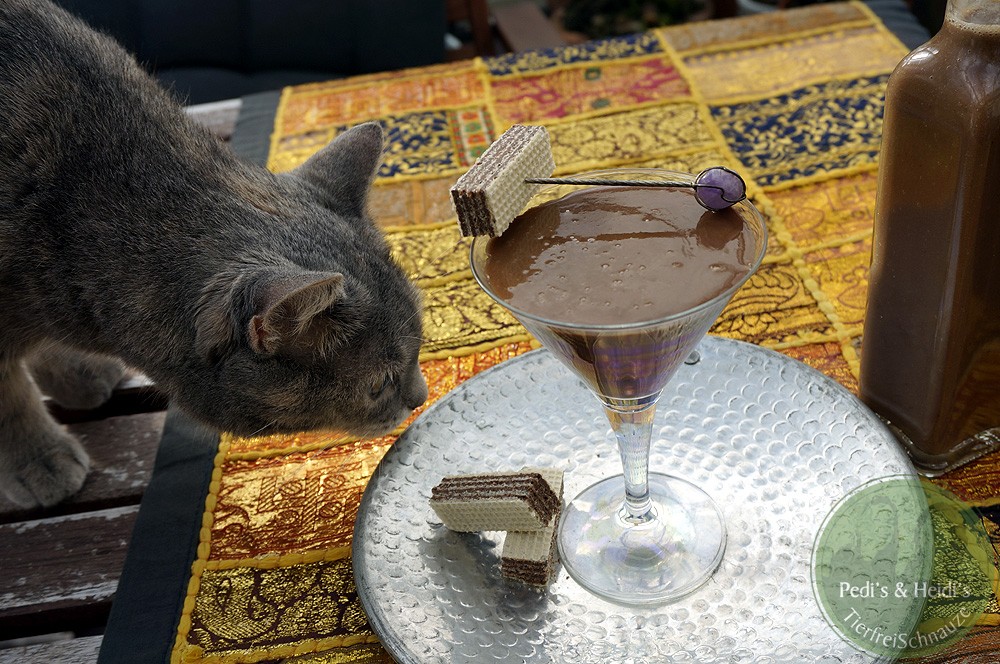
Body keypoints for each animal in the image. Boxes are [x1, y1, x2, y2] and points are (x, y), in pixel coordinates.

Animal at [0, 0, 428, 508]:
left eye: (422, 343)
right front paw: (39, 457)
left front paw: (75, 372)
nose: (422, 397)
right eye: (379, 384)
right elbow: (8, 399)